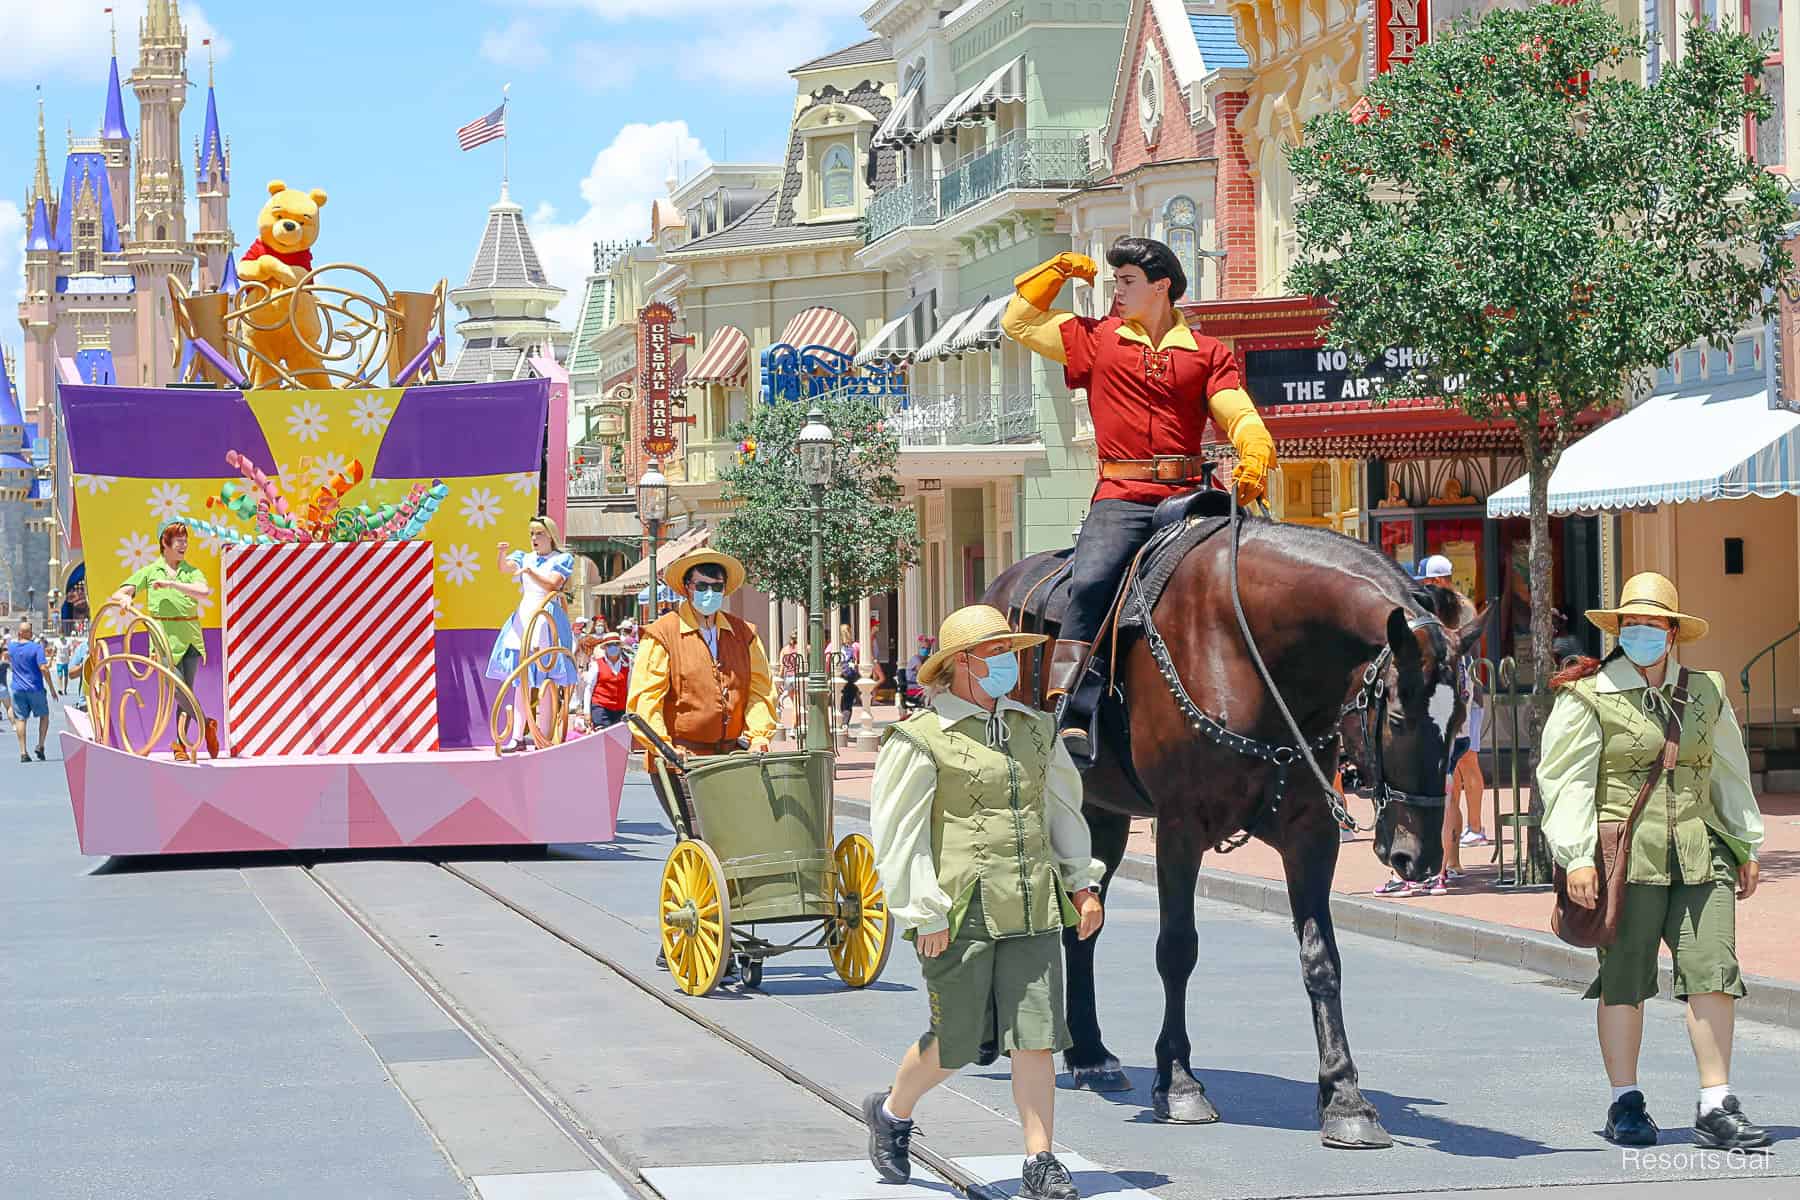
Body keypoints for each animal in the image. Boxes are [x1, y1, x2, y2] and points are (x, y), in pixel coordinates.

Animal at [986, 514, 1476, 1144]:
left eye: (1459, 718)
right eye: (1396, 716)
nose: (1419, 857)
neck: (1252, 656)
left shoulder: (1311, 835)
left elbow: (1322, 960)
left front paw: (1345, 1096)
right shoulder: (1180, 828)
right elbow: (1177, 949)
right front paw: (1178, 1082)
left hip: (1101, 816)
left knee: (1084, 924)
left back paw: (1091, 1054)